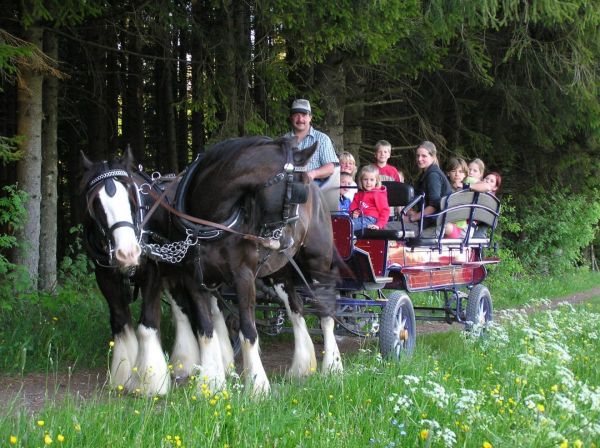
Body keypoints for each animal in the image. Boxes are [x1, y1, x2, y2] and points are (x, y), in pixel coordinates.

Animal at [81, 150, 206, 396]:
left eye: (131, 196)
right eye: (96, 203)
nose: (128, 253)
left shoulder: (153, 271)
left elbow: (147, 323)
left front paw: (151, 381)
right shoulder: (105, 276)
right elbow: (121, 322)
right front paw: (123, 373)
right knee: (181, 309)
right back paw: (185, 362)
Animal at [173, 135, 342, 394]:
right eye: (296, 192)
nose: (287, 242)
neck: (209, 221)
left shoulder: (243, 277)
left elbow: (248, 330)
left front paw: (257, 386)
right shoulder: (194, 278)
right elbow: (205, 329)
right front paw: (210, 384)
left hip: (317, 263)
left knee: (325, 310)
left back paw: (332, 366)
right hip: (280, 272)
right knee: (296, 308)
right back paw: (302, 366)